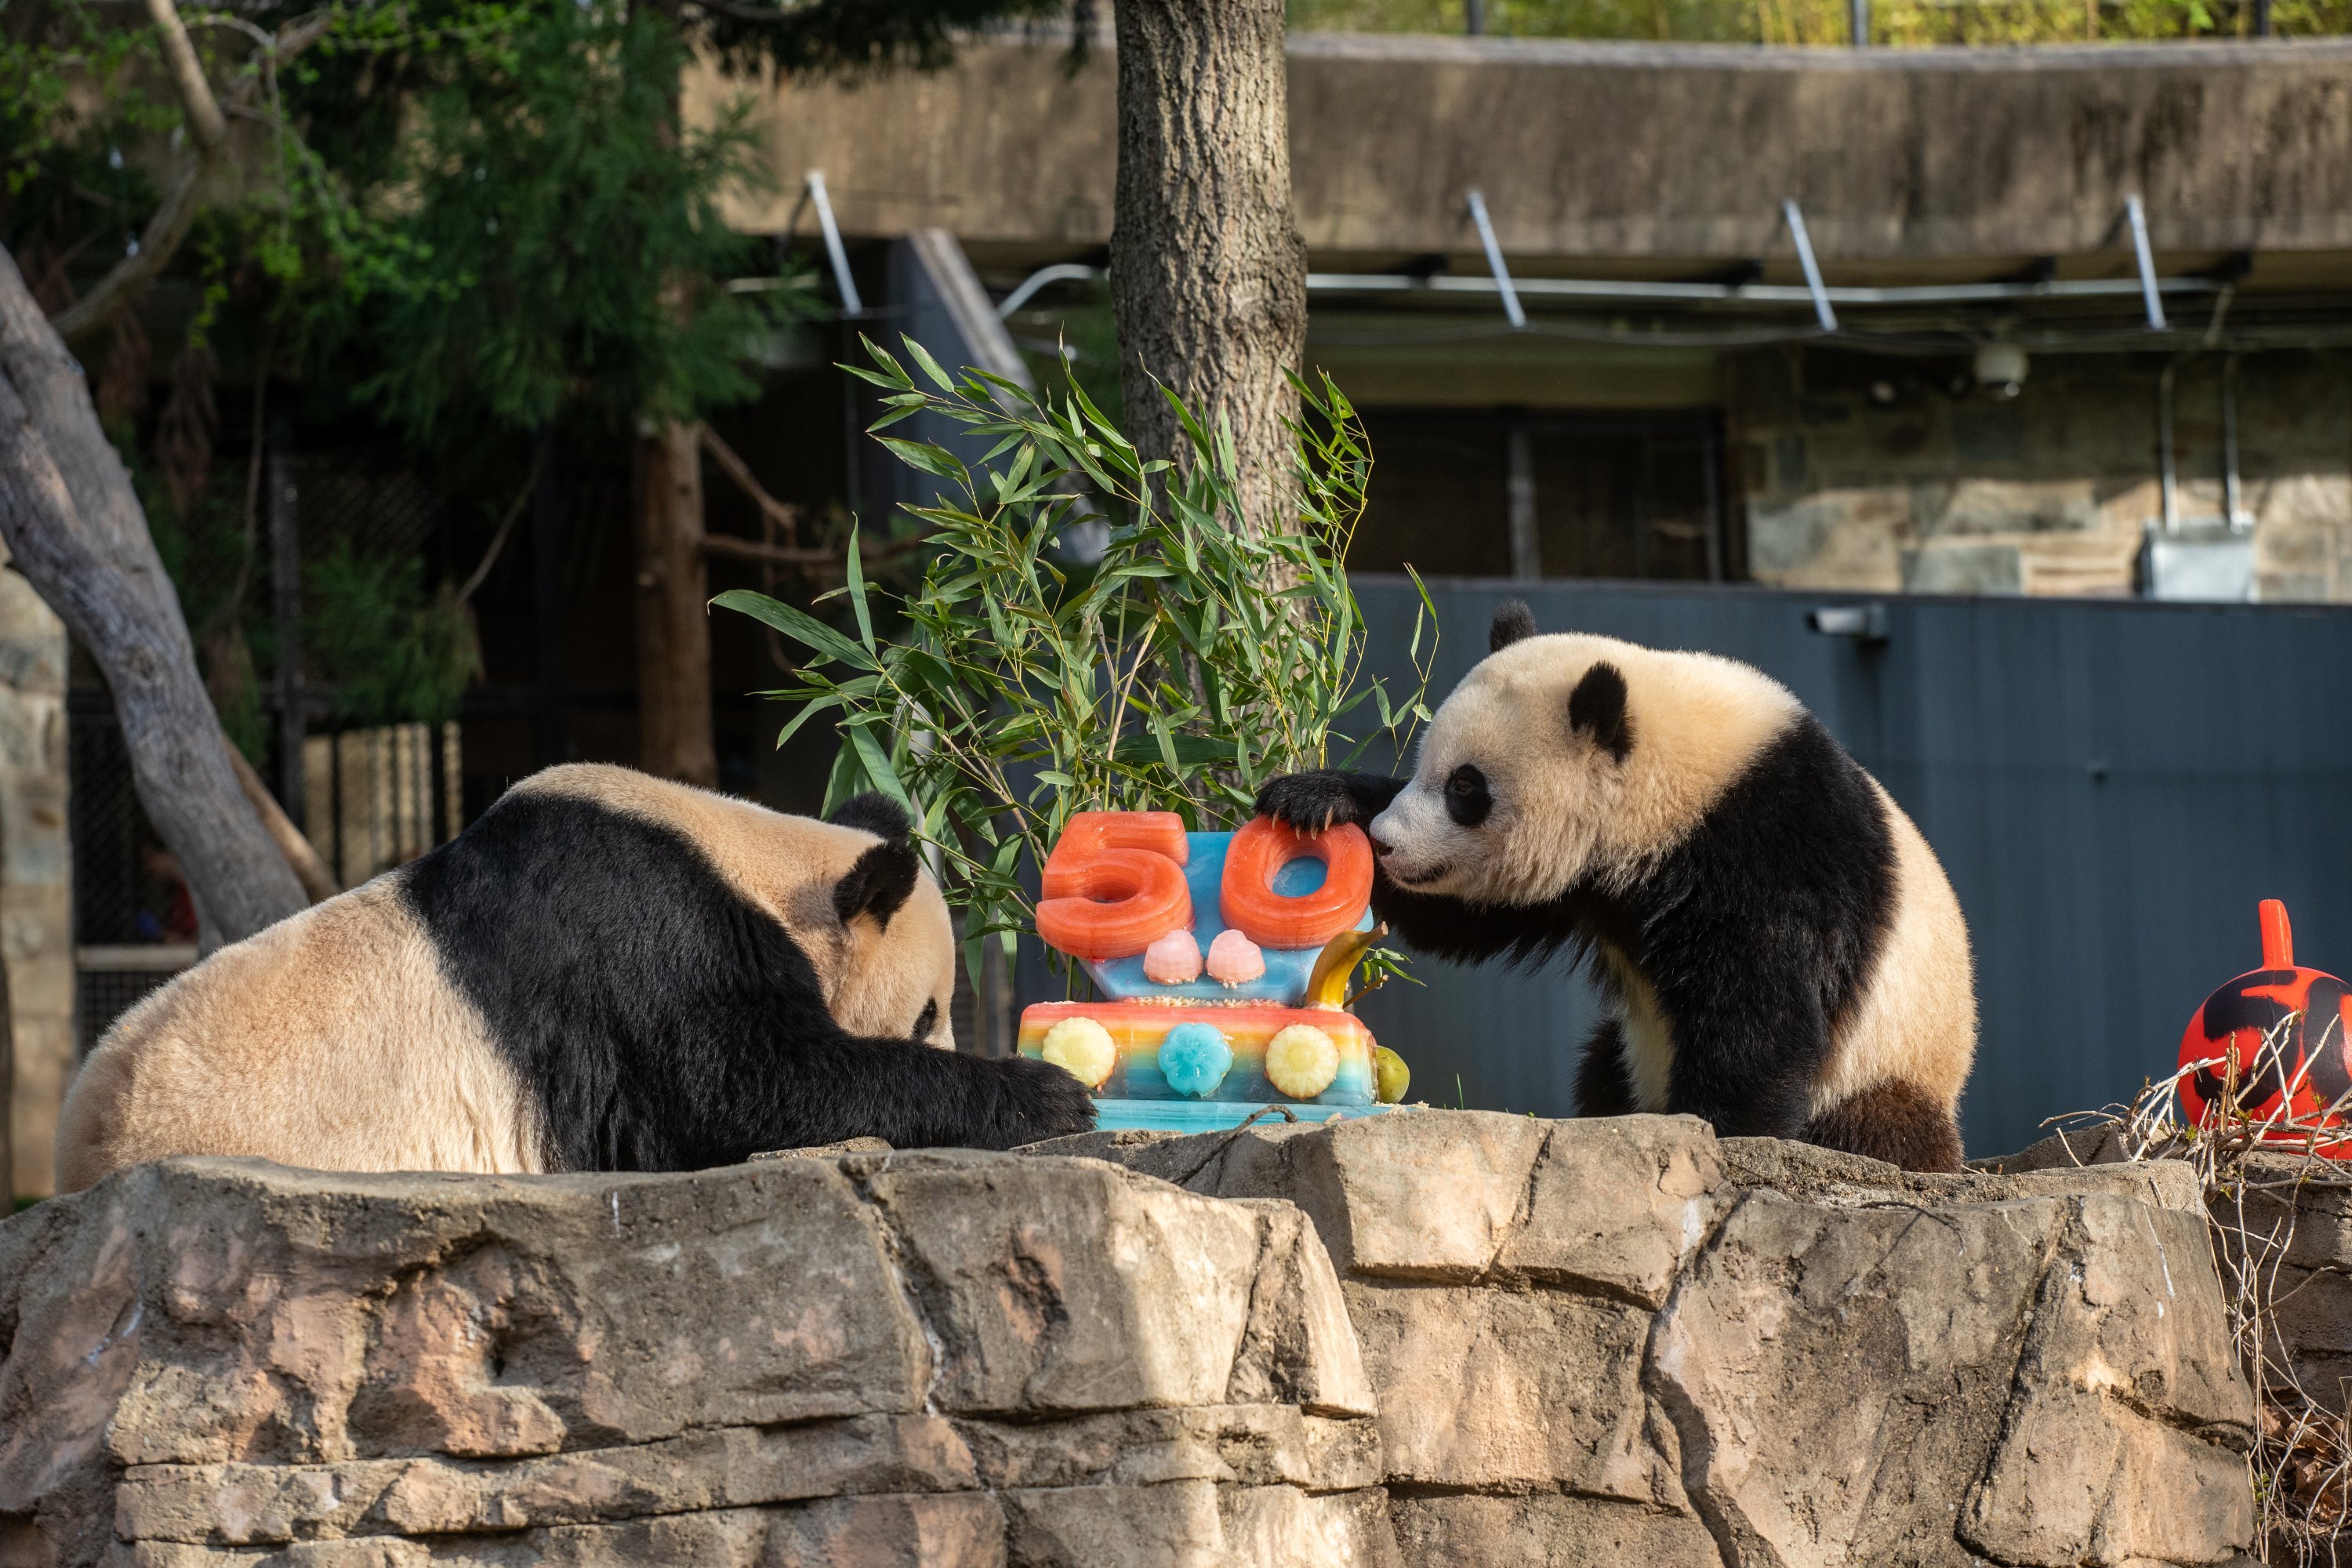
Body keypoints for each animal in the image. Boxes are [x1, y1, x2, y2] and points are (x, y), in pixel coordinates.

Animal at [57, 761, 1091, 1189]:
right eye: (926, 1014)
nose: (943, 1032)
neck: (752, 860)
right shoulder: (641, 950)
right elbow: (744, 1087)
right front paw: (1048, 1091)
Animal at [1261, 606, 1976, 1171]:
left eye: (1466, 787)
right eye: (1422, 766)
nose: (1387, 842)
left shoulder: (1772, 849)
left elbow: (1761, 1010)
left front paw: (1718, 1130)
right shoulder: (1583, 884)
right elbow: (1465, 916)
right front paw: (1314, 800)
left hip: (1884, 1064)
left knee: (1880, 1124)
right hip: (1635, 1050)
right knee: (1602, 1065)